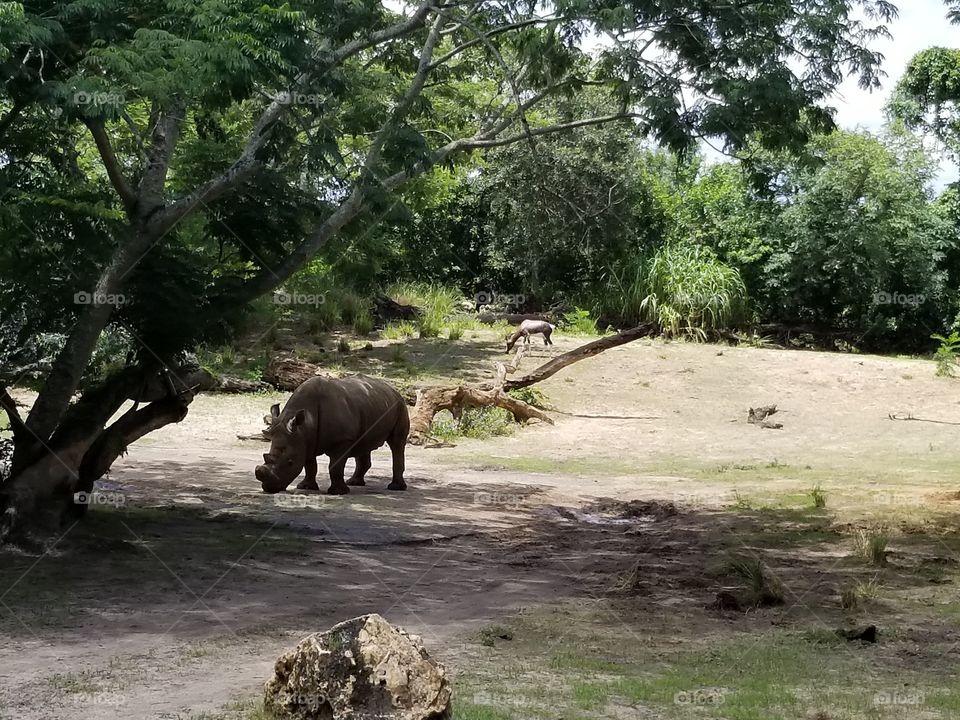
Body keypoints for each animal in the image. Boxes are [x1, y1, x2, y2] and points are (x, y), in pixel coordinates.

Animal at [255, 372, 408, 496]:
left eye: (290, 462)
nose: (269, 488)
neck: (304, 427)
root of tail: (393, 389)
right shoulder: (305, 440)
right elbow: (310, 466)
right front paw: (306, 487)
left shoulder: (342, 440)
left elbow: (335, 466)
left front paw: (338, 492)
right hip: (370, 404)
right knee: (363, 443)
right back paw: (354, 483)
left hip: (400, 405)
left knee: (397, 443)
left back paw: (395, 487)